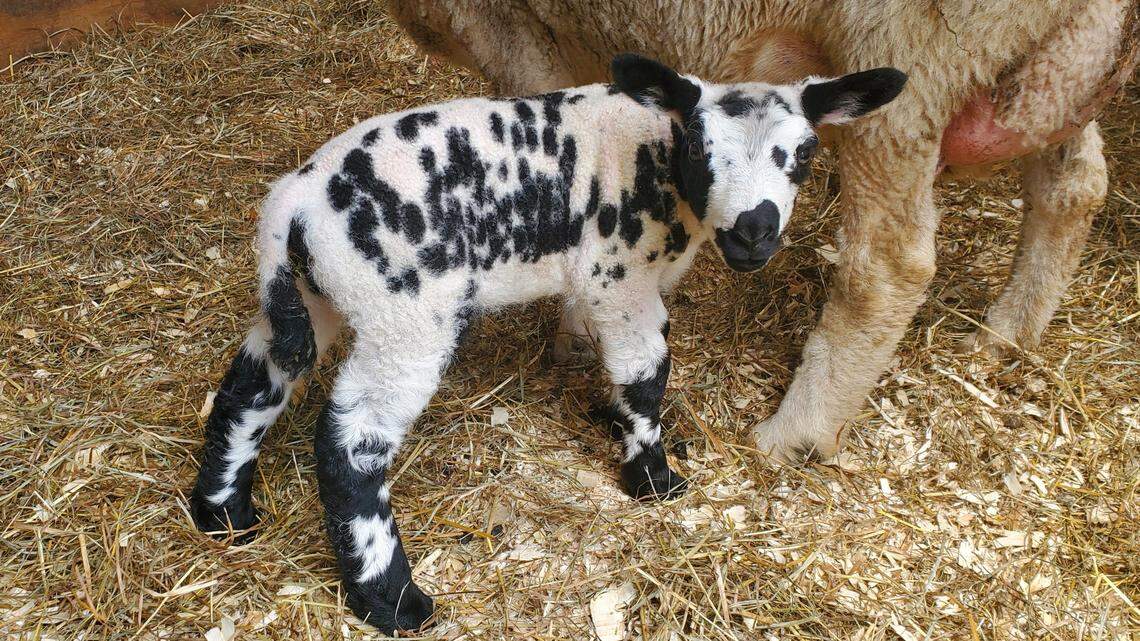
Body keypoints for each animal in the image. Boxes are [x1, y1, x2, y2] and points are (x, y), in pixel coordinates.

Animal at [187, 54, 906, 633]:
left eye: (804, 153)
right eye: (703, 150)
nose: (755, 231)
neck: (656, 153)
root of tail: (296, 203)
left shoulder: (598, 286)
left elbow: (605, 359)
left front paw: (608, 417)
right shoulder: (622, 277)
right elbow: (646, 373)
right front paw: (652, 478)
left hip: (312, 297)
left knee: (252, 384)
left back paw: (224, 514)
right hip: (404, 316)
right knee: (351, 444)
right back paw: (391, 601)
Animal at [390, 0, 1135, 461]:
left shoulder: (518, 31)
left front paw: (577, 331)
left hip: (913, 64)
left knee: (889, 266)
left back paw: (796, 433)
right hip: (1057, 67)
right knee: (1076, 185)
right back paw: (1008, 334)